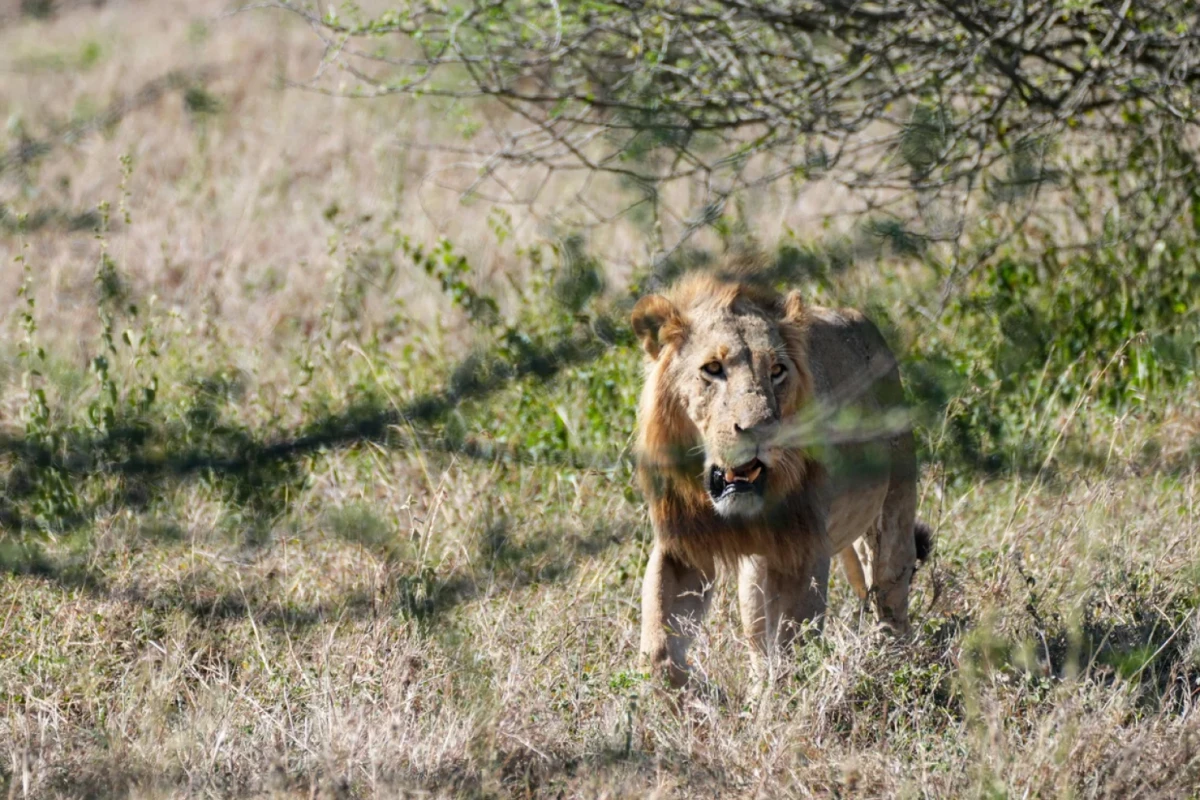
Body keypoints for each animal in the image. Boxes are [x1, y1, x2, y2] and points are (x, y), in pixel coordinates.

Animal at [631, 269, 932, 689]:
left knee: (891, 600)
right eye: (712, 369)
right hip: (756, 575)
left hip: (893, 518)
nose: (760, 429)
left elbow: (793, 653)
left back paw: (895, 671)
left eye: (776, 371)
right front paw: (695, 695)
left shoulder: (803, 547)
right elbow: (659, 650)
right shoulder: (682, 546)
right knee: (758, 642)